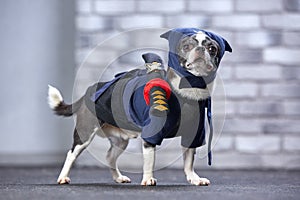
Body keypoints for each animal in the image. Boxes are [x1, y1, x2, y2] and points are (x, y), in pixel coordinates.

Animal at [48, 28, 232, 186]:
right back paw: (63, 177)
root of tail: (89, 91)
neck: (187, 91)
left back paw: (118, 177)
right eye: (186, 47)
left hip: (120, 141)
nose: (200, 49)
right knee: (71, 154)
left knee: (110, 157)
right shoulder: (151, 135)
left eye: (212, 48)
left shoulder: (192, 135)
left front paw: (194, 178)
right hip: (85, 133)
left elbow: (188, 161)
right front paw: (148, 179)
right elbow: (150, 161)